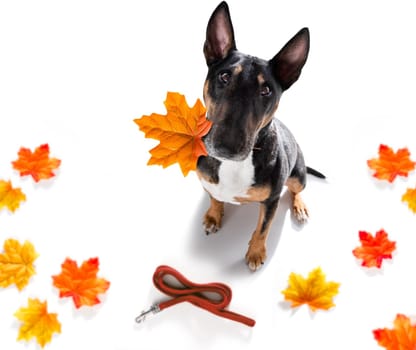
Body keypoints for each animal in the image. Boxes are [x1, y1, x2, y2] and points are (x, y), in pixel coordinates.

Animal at [196, 0, 324, 270]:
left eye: (266, 90)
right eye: (224, 76)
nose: (227, 147)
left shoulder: (272, 200)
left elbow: (263, 228)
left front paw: (255, 253)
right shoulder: (207, 181)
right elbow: (214, 198)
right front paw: (213, 216)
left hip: (297, 174)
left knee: (297, 189)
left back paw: (299, 207)